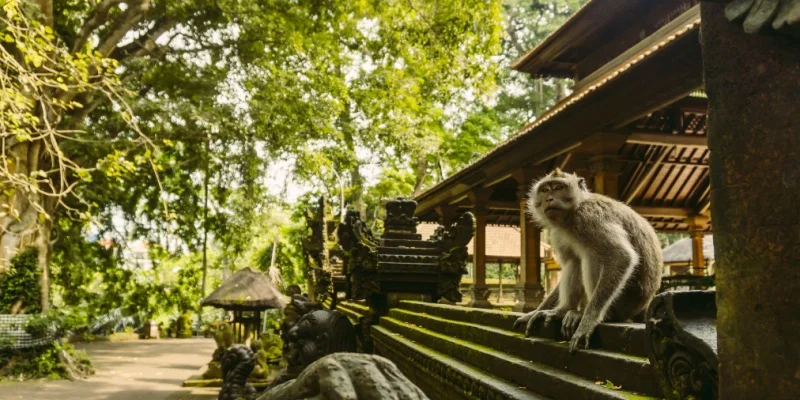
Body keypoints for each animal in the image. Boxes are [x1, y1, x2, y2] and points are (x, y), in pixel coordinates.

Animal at [513, 169, 662, 353]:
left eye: (558, 187)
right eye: (545, 190)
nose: (549, 199)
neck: (572, 214)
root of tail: (645, 305)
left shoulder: (590, 219)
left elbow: (620, 256)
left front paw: (588, 321)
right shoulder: (558, 233)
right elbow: (570, 262)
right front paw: (533, 313)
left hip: (626, 301)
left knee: (593, 256)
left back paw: (592, 314)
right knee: (575, 261)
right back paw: (563, 310)